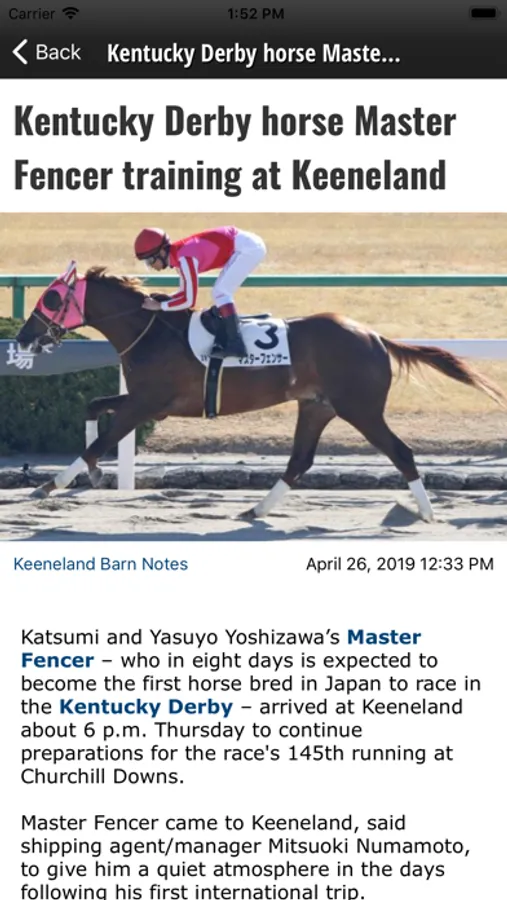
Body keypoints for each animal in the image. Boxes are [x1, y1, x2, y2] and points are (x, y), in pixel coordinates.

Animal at [16, 261, 505, 523]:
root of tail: (376, 337)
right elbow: (93, 406)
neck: (151, 331)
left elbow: (101, 440)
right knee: (300, 461)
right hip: (317, 406)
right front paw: (94, 475)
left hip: (360, 408)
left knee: (400, 452)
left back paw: (427, 513)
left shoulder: (147, 403)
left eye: (51, 299)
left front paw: (52, 483)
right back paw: (258, 509)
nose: (22, 337)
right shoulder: (147, 401)